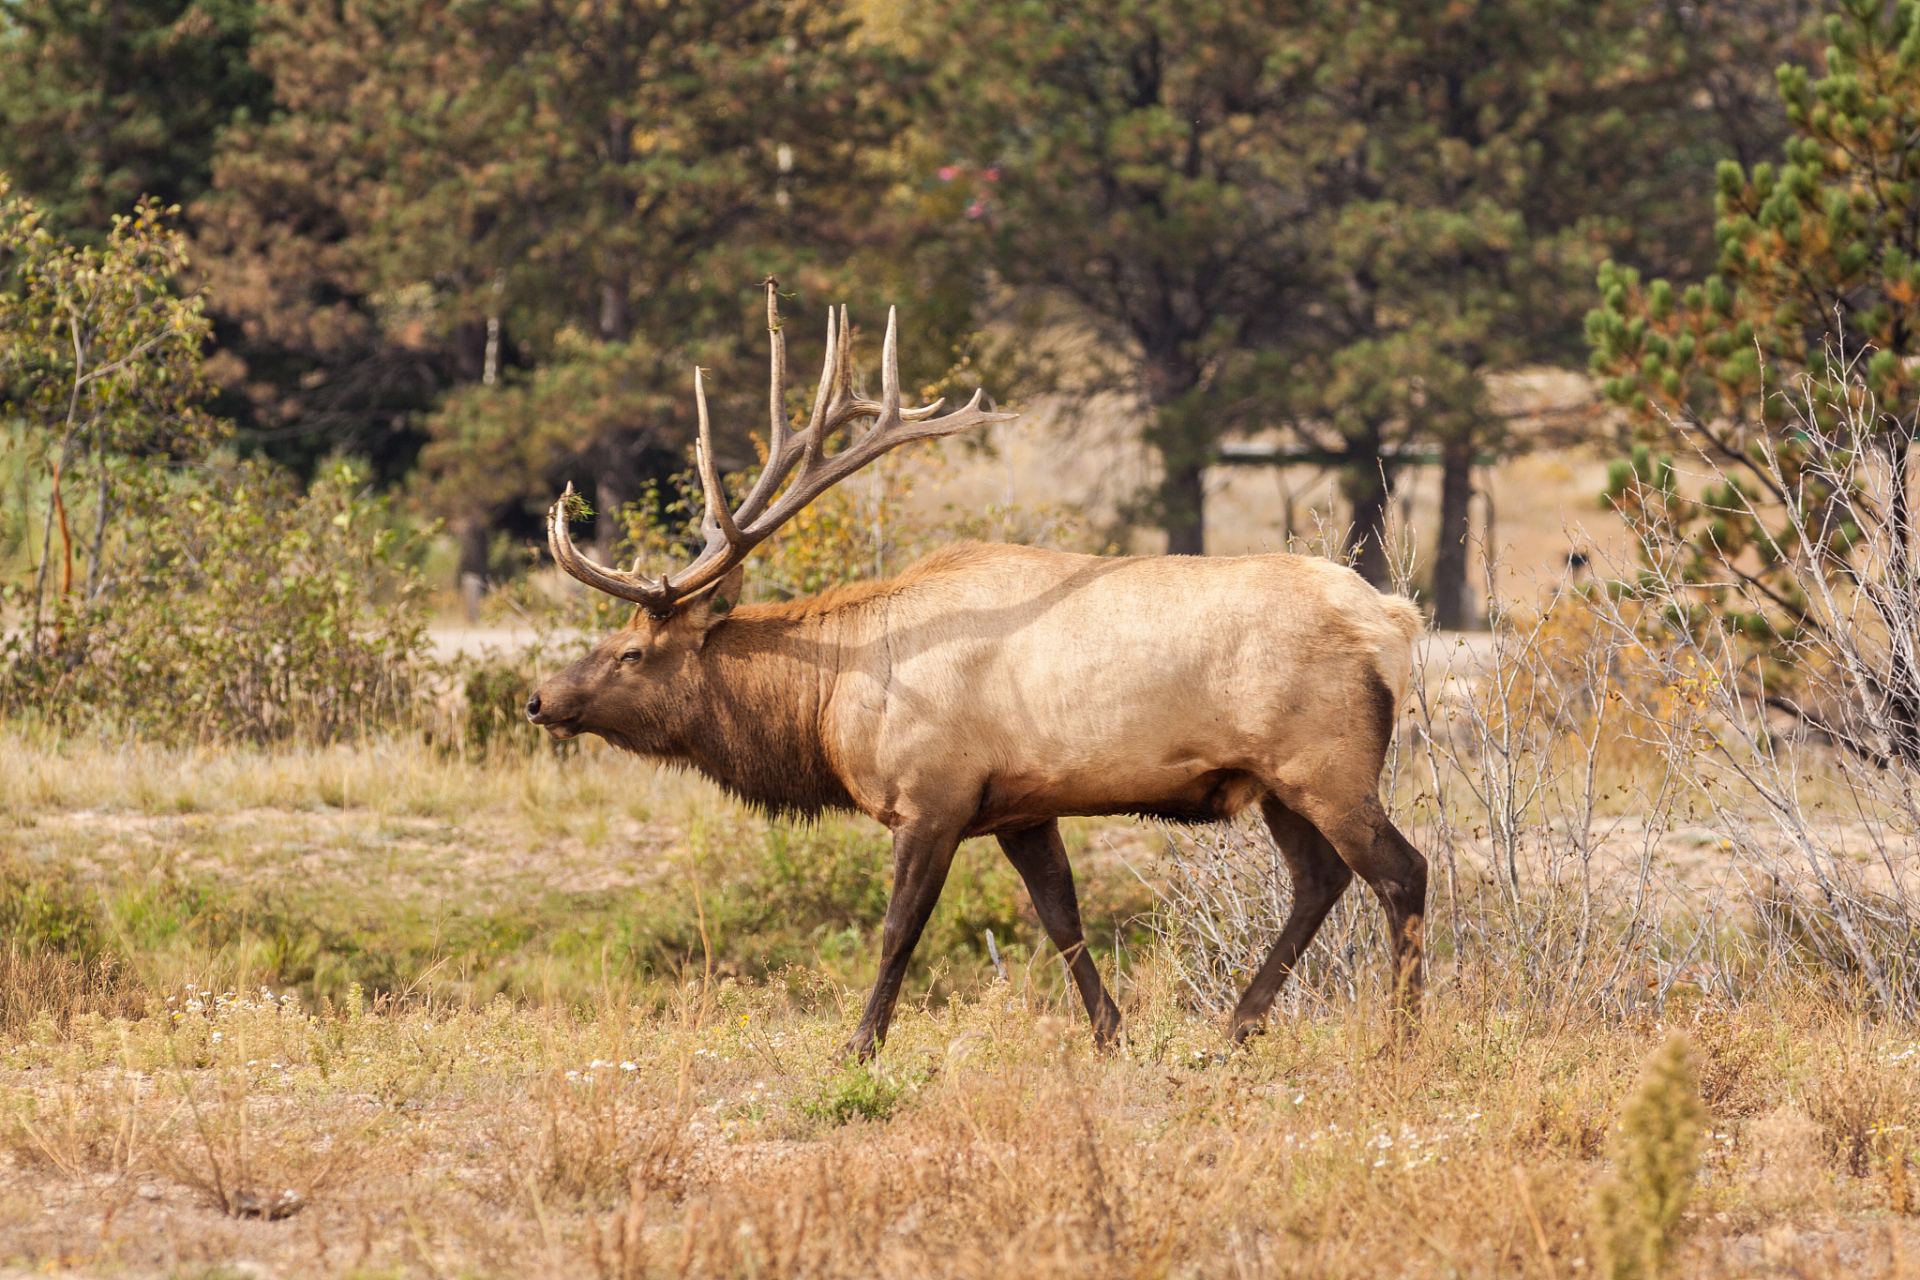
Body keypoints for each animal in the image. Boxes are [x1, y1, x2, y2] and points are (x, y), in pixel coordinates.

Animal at [526, 282, 1428, 1059]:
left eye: (632, 652)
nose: (538, 699)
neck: (831, 705)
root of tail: (1396, 622)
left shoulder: (933, 795)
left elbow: (899, 930)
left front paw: (858, 1046)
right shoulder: (1021, 807)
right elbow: (1063, 919)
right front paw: (1110, 1034)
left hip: (1326, 761)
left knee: (1400, 873)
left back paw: (1401, 1038)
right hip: (1277, 781)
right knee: (1320, 879)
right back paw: (1239, 1024)